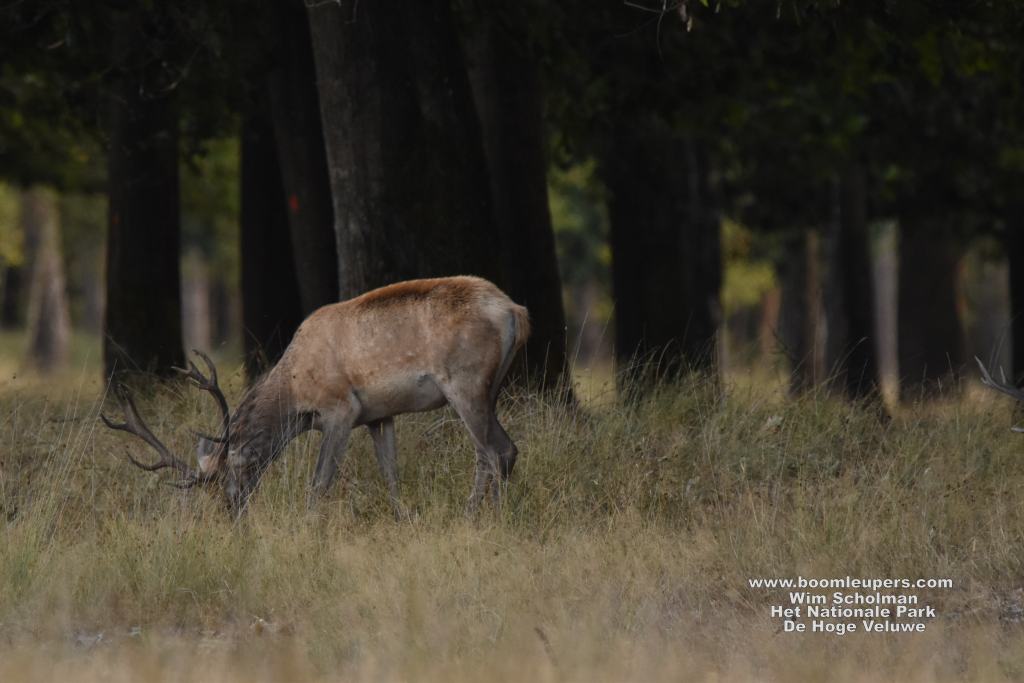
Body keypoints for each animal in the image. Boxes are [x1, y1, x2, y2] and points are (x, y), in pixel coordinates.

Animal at [102, 276, 530, 517]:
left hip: (465, 382)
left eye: (233, 472)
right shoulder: (378, 415)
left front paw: (309, 526)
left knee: (496, 450)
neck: (296, 394)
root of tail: (515, 310)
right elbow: (390, 474)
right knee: (493, 452)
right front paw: (406, 517)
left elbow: (319, 481)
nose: (233, 512)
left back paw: (481, 517)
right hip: (490, 388)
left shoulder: (341, 409)